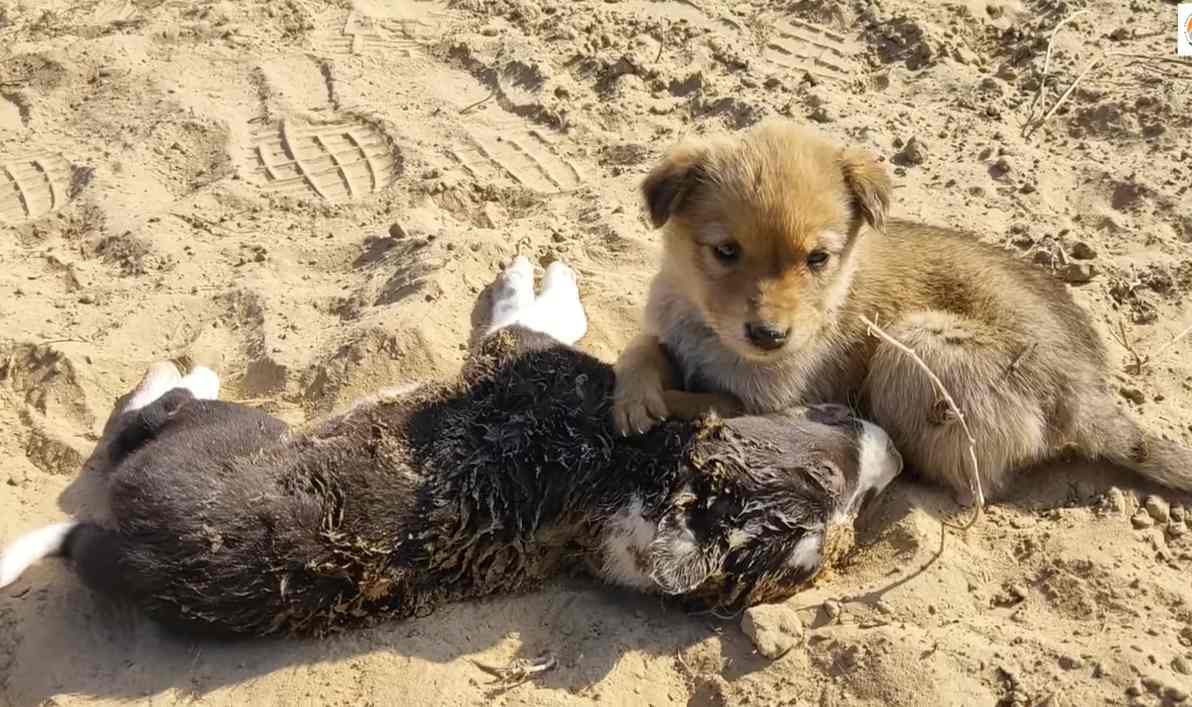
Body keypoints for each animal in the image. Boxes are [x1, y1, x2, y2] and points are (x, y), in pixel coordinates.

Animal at [0, 256, 896, 639]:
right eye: (828, 472)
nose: (892, 459)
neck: (620, 475)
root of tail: (117, 547)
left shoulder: (525, 358)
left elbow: (538, 314)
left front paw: (537, 273)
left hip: (232, 432)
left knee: (150, 416)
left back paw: (182, 369)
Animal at [615, 119, 1192, 500]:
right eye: (726, 251)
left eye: (818, 258)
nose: (769, 336)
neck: (705, 326)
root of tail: (1087, 395)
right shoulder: (669, 327)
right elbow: (642, 347)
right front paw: (634, 393)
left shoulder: (766, 402)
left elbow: (705, 401)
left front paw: (661, 401)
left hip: (919, 340)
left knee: (977, 480)